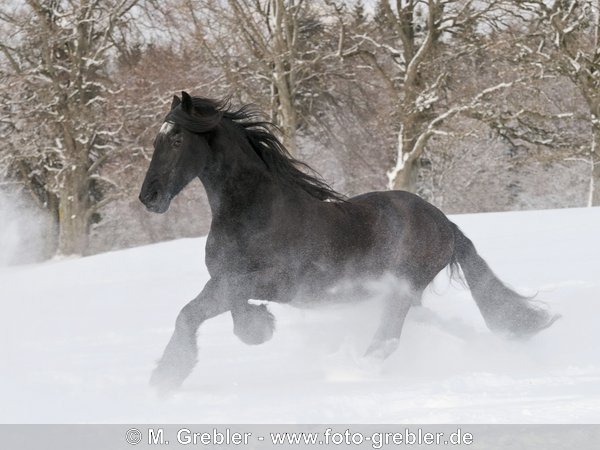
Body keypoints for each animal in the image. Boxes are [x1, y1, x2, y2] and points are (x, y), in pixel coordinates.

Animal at [139, 91, 556, 390]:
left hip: (403, 288)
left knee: (389, 337)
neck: (254, 212)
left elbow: (190, 312)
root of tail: (446, 224)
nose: (149, 197)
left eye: (176, 139)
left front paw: (165, 377)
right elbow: (227, 310)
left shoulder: (274, 282)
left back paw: (355, 370)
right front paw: (259, 328)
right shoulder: (226, 279)